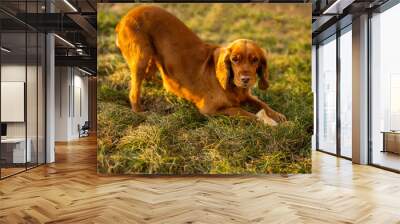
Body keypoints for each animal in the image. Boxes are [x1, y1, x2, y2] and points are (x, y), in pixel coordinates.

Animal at [114, 5, 286, 123]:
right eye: (234, 59)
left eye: (255, 60)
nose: (245, 79)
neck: (233, 88)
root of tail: (124, 18)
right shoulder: (209, 110)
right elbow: (240, 111)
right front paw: (263, 120)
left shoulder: (247, 95)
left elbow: (262, 103)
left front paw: (277, 115)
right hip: (141, 57)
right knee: (134, 91)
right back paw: (139, 111)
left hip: (153, 55)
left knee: (151, 75)